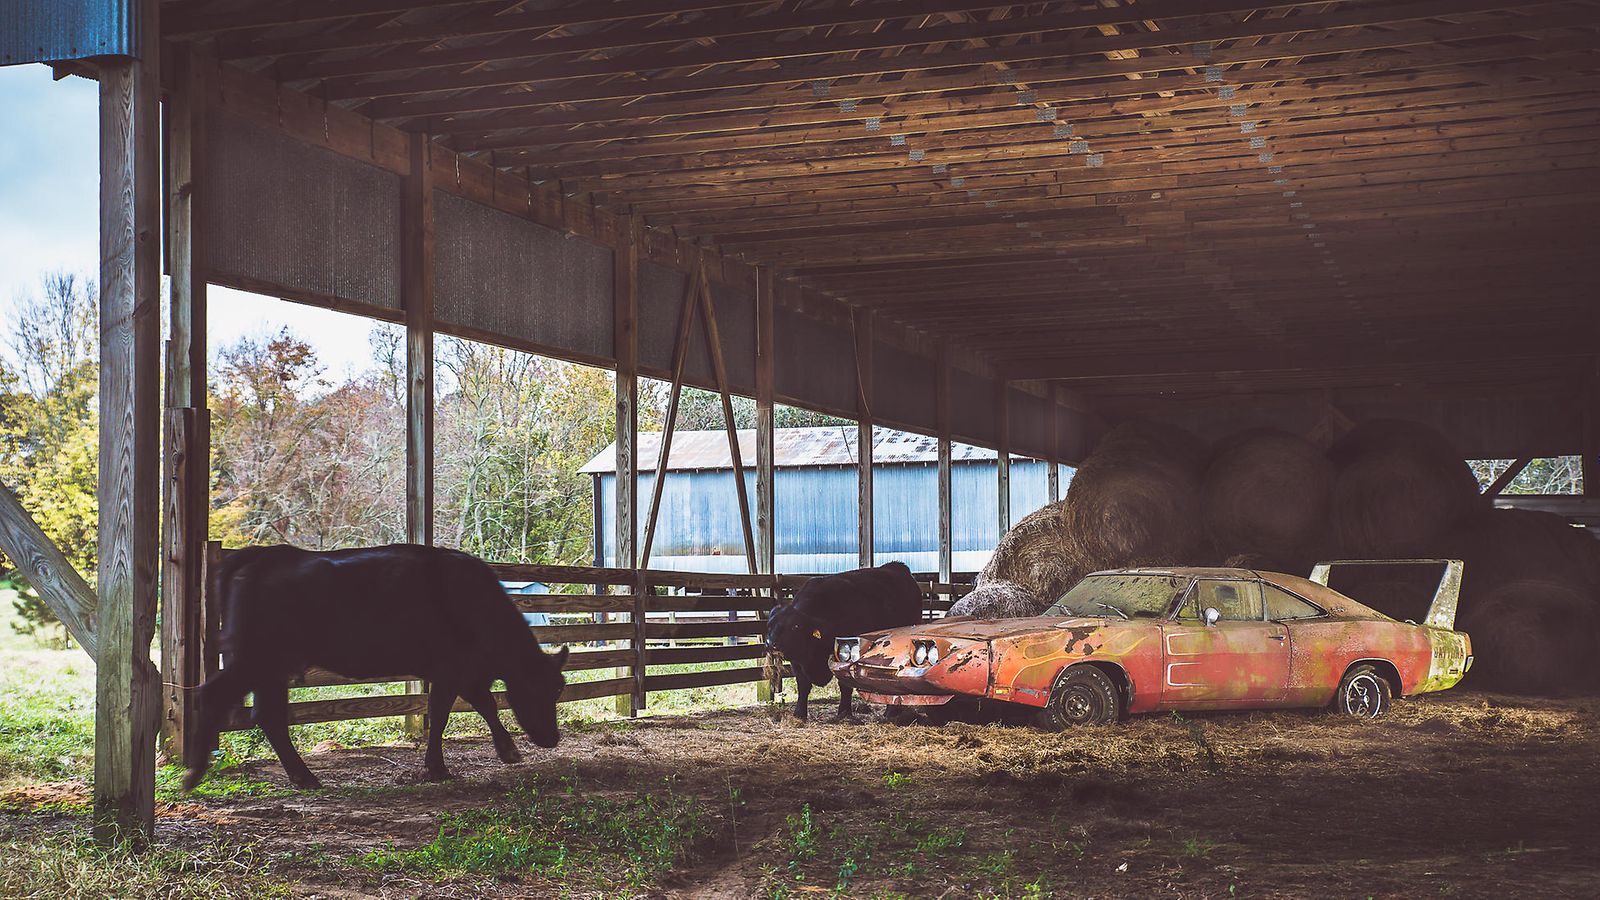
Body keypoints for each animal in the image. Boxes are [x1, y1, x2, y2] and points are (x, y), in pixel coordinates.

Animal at [186, 538, 569, 784]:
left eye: (558, 691)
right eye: (537, 689)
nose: (552, 738)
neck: (475, 602)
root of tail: (265, 556)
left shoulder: (461, 674)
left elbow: (474, 707)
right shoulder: (453, 672)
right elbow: (452, 713)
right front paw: (444, 766)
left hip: (271, 671)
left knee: (269, 717)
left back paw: (303, 777)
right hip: (254, 661)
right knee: (213, 695)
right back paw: (194, 774)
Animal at [764, 557, 921, 717]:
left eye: (795, 626)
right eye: (769, 626)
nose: (771, 644)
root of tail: (897, 567)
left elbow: (844, 685)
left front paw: (844, 712)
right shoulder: (798, 662)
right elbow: (803, 685)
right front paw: (799, 713)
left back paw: (890, 711)